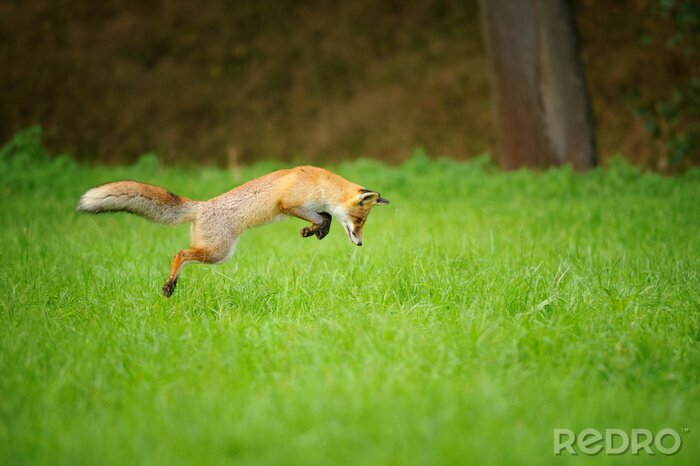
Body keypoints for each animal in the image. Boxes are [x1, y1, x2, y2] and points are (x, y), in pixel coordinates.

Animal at [76, 166, 389, 297]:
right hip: (219, 253)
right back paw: (169, 286)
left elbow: (323, 216)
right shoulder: (287, 203)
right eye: (359, 220)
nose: (360, 244)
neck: (320, 183)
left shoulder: (302, 207)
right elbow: (323, 216)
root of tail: (201, 206)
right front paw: (317, 229)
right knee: (180, 253)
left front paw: (313, 231)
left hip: (215, 252)